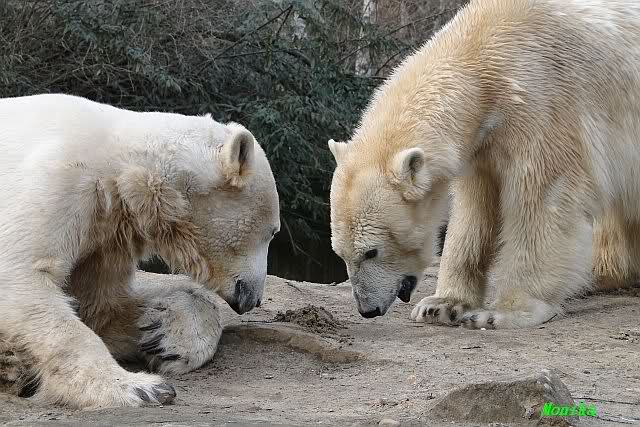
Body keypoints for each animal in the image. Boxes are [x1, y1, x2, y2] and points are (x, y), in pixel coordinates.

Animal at [0, 94, 280, 408]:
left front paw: (163, 336)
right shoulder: (58, 182)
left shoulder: (106, 231)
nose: (253, 298)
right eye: (273, 232)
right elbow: (22, 277)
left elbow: (101, 306)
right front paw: (140, 388)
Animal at [328, 0, 640, 329]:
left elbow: (542, 199)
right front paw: (440, 305)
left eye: (371, 252)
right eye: (341, 254)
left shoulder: (545, 104)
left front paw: (501, 312)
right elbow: (475, 209)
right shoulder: (482, 146)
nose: (367, 309)